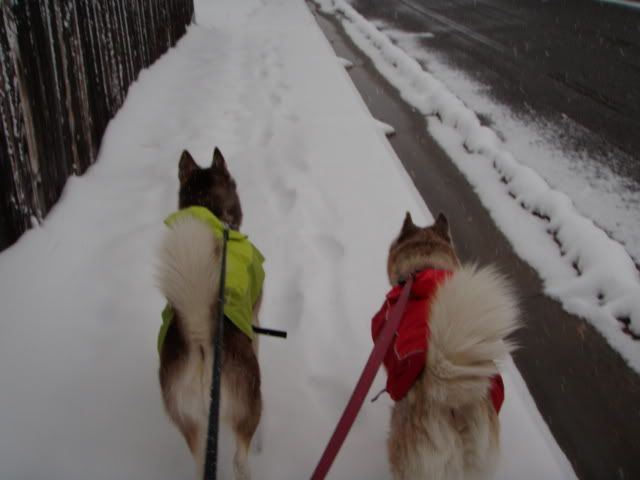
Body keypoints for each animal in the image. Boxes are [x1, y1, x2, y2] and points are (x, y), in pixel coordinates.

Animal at [156, 148, 264, 478]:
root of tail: (201, 337)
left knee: (200, 463)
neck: (210, 211)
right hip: (248, 402)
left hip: (190, 420)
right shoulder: (255, 321)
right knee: (239, 457)